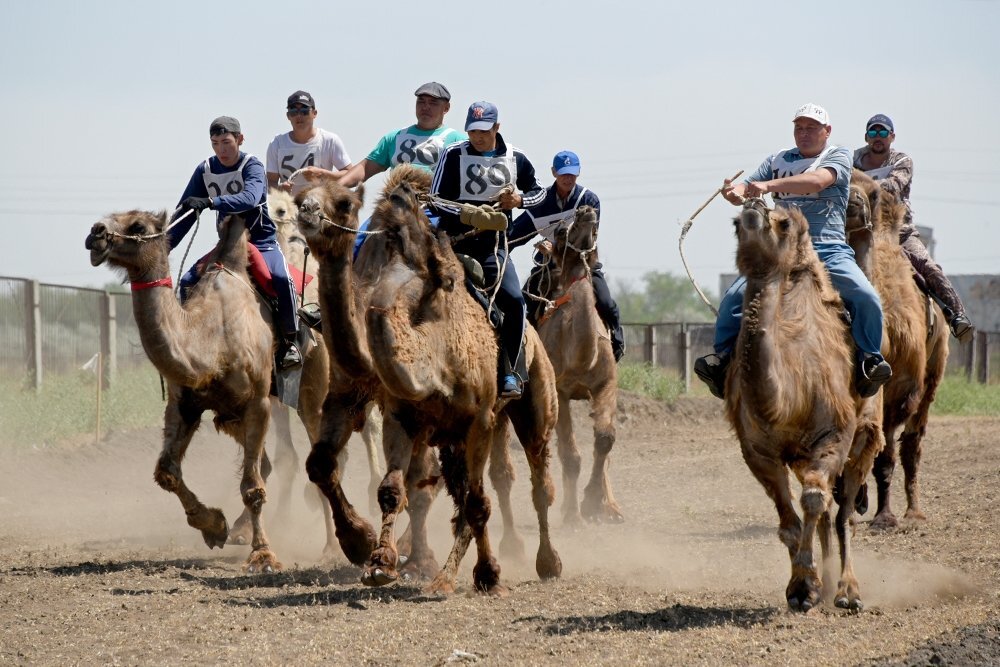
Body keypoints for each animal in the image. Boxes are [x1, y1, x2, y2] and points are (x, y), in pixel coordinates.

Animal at [84, 211, 284, 572]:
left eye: (138, 226)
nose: (96, 233)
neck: (211, 343)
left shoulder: (259, 402)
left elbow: (252, 488)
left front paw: (263, 556)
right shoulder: (185, 403)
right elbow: (166, 472)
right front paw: (214, 526)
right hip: (231, 418)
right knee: (264, 463)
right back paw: (239, 530)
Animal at [296, 167, 564, 596]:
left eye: (345, 203)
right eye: (300, 193)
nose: (306, 211)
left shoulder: (472, 418)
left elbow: (449, 492)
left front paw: (465, 571)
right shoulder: (365, 398)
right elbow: (372, 481)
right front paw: (369, 552)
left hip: (533, 404)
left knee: (538, 484)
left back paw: (545, 562)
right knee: (457, 489)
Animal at [532, 206, 616, 524]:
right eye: (558, 231)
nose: (585, 210)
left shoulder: (606, 383)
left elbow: (604, 439)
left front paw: (592, 502)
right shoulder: (561, 392)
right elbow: (571, 455)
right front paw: (572, 515)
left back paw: (611, 508)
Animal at [728, 201, 884, 612]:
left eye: (782, 223)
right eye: (734, 225)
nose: (751, 208)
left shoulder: (834, 434)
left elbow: (813, 501)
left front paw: (808, 588)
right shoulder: (758, 449)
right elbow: (789, 523)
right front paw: (803, 587)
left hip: (866, 435)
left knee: (843, 512)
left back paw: (847, 592)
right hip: (800, 456)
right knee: (829, 509)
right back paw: (828, 585)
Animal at [848, 171, 948, 528]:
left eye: (874, 193)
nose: (853, 201)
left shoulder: (901, 389)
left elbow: (885, 455)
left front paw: (884, 518)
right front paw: (854, 503)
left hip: (933, 371)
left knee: (912, 444)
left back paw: (913, 512)